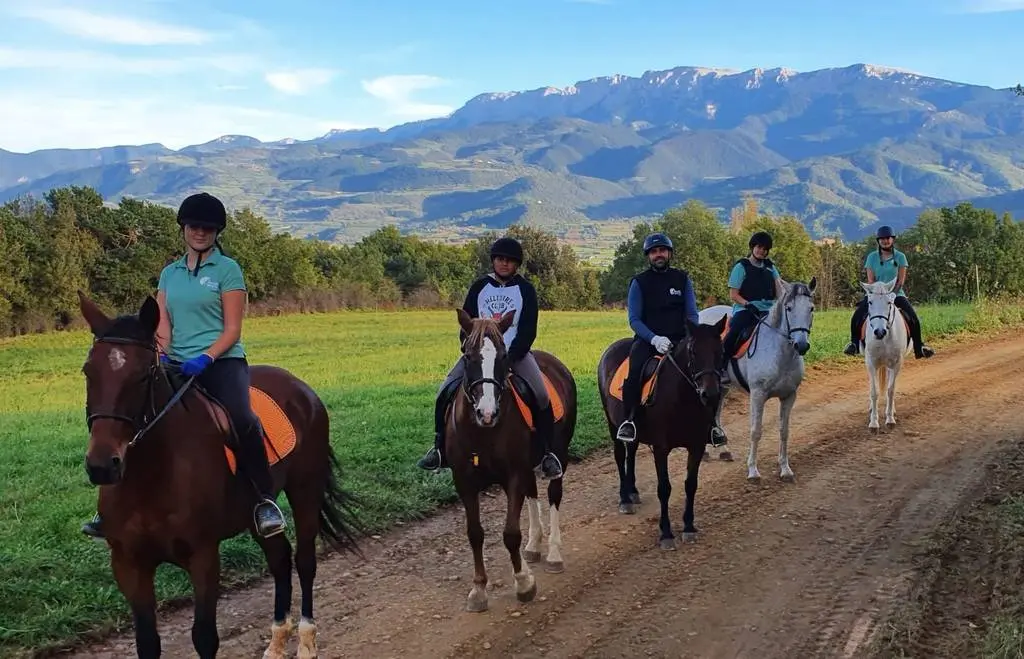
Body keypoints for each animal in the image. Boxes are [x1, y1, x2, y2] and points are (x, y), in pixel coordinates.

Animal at [76, 292, 364, 659]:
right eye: (88, 371)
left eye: (143, 375)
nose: (102, 465)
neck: (151, 478)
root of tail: (301, 389)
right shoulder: (128, 563)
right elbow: (147, 643)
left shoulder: (203, 556)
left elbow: (204, 637)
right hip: (257, 512)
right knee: (280, 558)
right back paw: (276, 641)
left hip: (305, 490)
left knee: (304, 561)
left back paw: (306, 640)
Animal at [448, 309, 577, 613]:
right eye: (467, 355)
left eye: (504, 356)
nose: (487, 413)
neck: (481, 432)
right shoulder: (464, 482)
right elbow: (475, 533)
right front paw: (478, 590)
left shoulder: (513, 476)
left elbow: (510, 533)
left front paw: (523, 583)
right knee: (533, 492)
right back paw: (533, 546)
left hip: (559, 453)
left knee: (554, 494)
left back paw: (553, 554)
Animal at [593, 319, 729, 552]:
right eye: (693, 351)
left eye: (720, 351)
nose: (710, 394)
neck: (683, 397)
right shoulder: (661, 448)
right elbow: (664, 488)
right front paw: (666, 533)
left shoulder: (697, 446)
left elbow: (691, 484)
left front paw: (689, 527)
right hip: (612, 423)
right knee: (620, 456)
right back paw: (625, 499)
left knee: (632, 452)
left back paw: (633, 491)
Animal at [696, 276, 815, 480]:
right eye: (789, 308)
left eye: (811, 308)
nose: (801, 345)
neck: (780, 354)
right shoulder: (758, 395)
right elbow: (756, 431)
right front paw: (752, 470)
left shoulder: (789, 396)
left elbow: (784, 431)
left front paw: (785, 468)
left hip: (722, 387)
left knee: (716, 413)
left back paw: (724, 450)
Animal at [860, 276, 909, 431]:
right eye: (870, 302)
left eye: (889, 302)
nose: (879, 332)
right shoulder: (870, 363)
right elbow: (874, 392)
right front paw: (874, 422)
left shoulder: (897, 363)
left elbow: (891, 390)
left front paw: (890, 419)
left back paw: (891, 410)